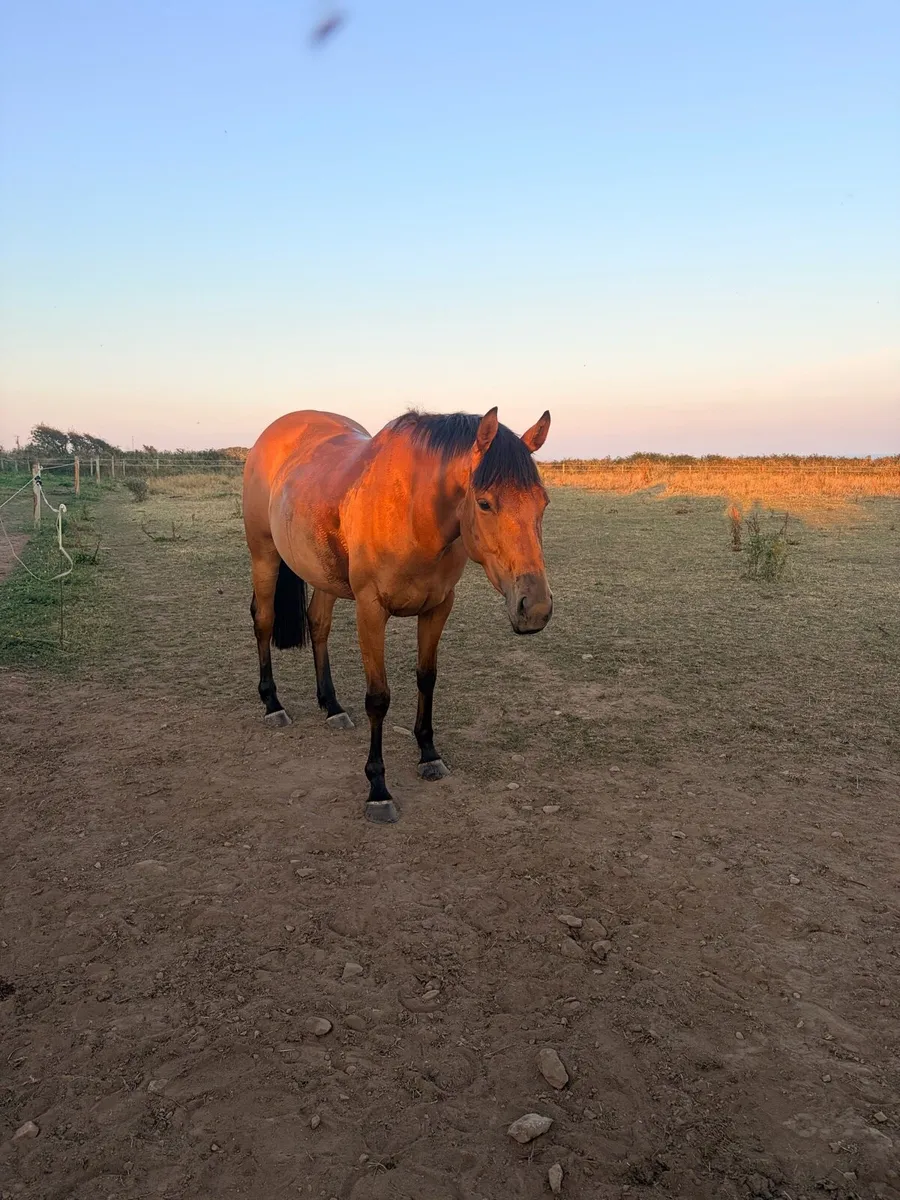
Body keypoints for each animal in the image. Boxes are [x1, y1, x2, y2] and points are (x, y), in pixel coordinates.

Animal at [242, 406, 553, 823]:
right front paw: (378, 789)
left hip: (321, 572)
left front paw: (428, 754)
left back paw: (332, 707)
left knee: (318, 624)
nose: (535, 608)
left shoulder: (439, 607)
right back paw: (273, 704)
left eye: (543, 502)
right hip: (264, 556)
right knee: (263, 620)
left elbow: (427, 678)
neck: (415, 512)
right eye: (485, 503)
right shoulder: (371, 610)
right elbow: (378, 698)